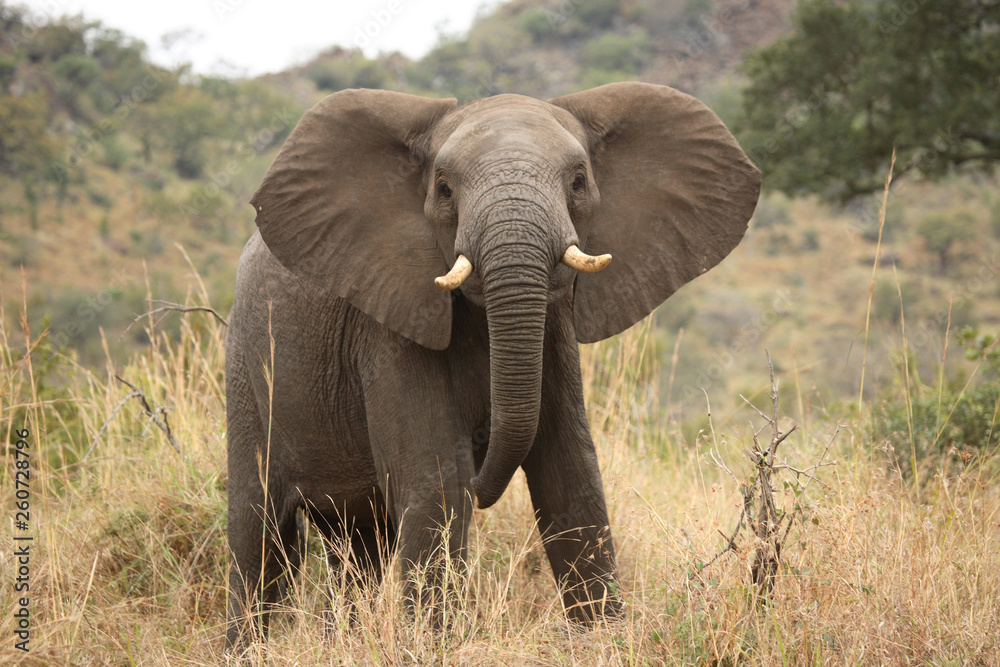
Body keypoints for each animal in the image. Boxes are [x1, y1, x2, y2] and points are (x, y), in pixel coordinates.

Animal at [225, 79, 756, 652]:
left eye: (578, 181)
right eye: (443, 189)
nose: (485, 472)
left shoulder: (553, 328)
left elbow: (571, 473)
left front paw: (604, 640)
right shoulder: (389, 327)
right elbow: (438, 482)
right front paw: (430, 648)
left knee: (359, 546)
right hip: (244, 369)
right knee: (259, 534)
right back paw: (246, 649)